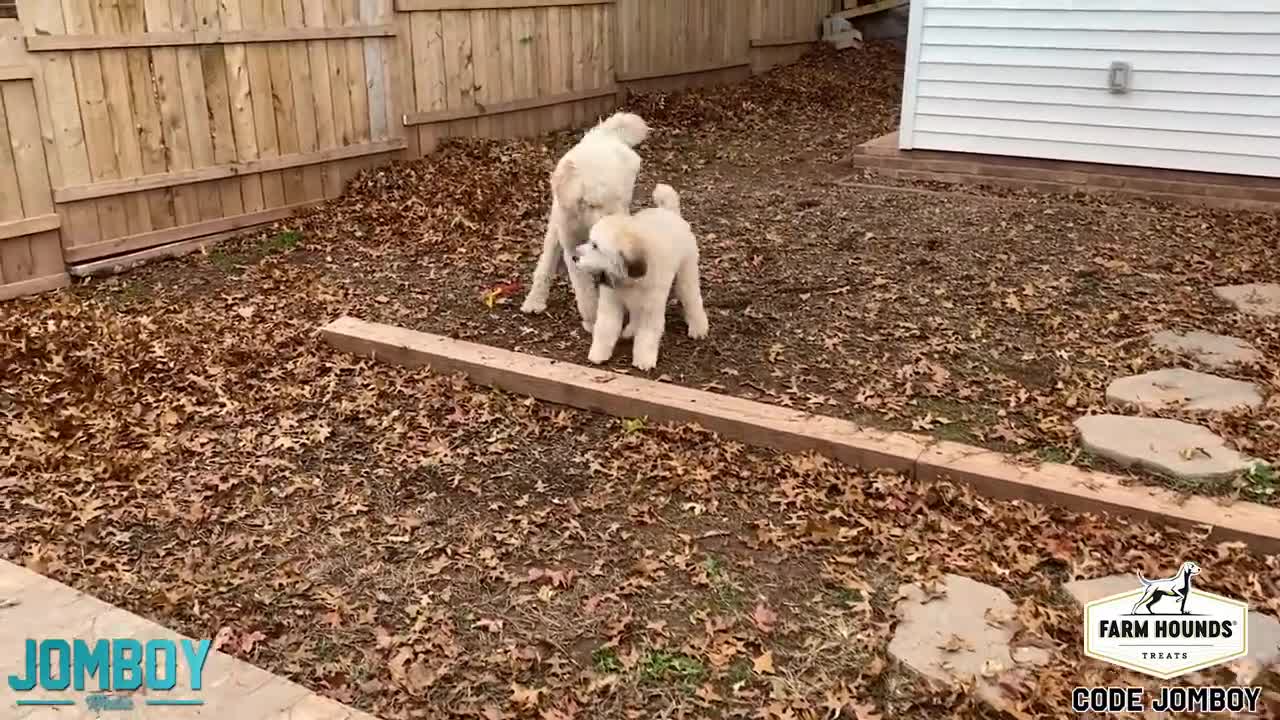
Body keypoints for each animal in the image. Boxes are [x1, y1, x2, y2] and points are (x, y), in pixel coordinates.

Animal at [517, 110, 650, 330]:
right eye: (594, 204)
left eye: (620, 200)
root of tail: (604, 133)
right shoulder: (571, 244)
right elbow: (584, 290)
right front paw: (592, 319)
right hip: (556, 221)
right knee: (548, 257)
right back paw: (535, 299)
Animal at [573, 181, 711, 368]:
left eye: (596, 246)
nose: (574, 257)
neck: (629, 278)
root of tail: (669, 212)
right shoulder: (611, 303)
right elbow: (605, 328)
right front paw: (598, 354)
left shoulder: (651, 309)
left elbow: (647, 335)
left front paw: (644, 360)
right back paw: (631, 330)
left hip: (686, 273)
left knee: (692, 299)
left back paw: (698, 327)